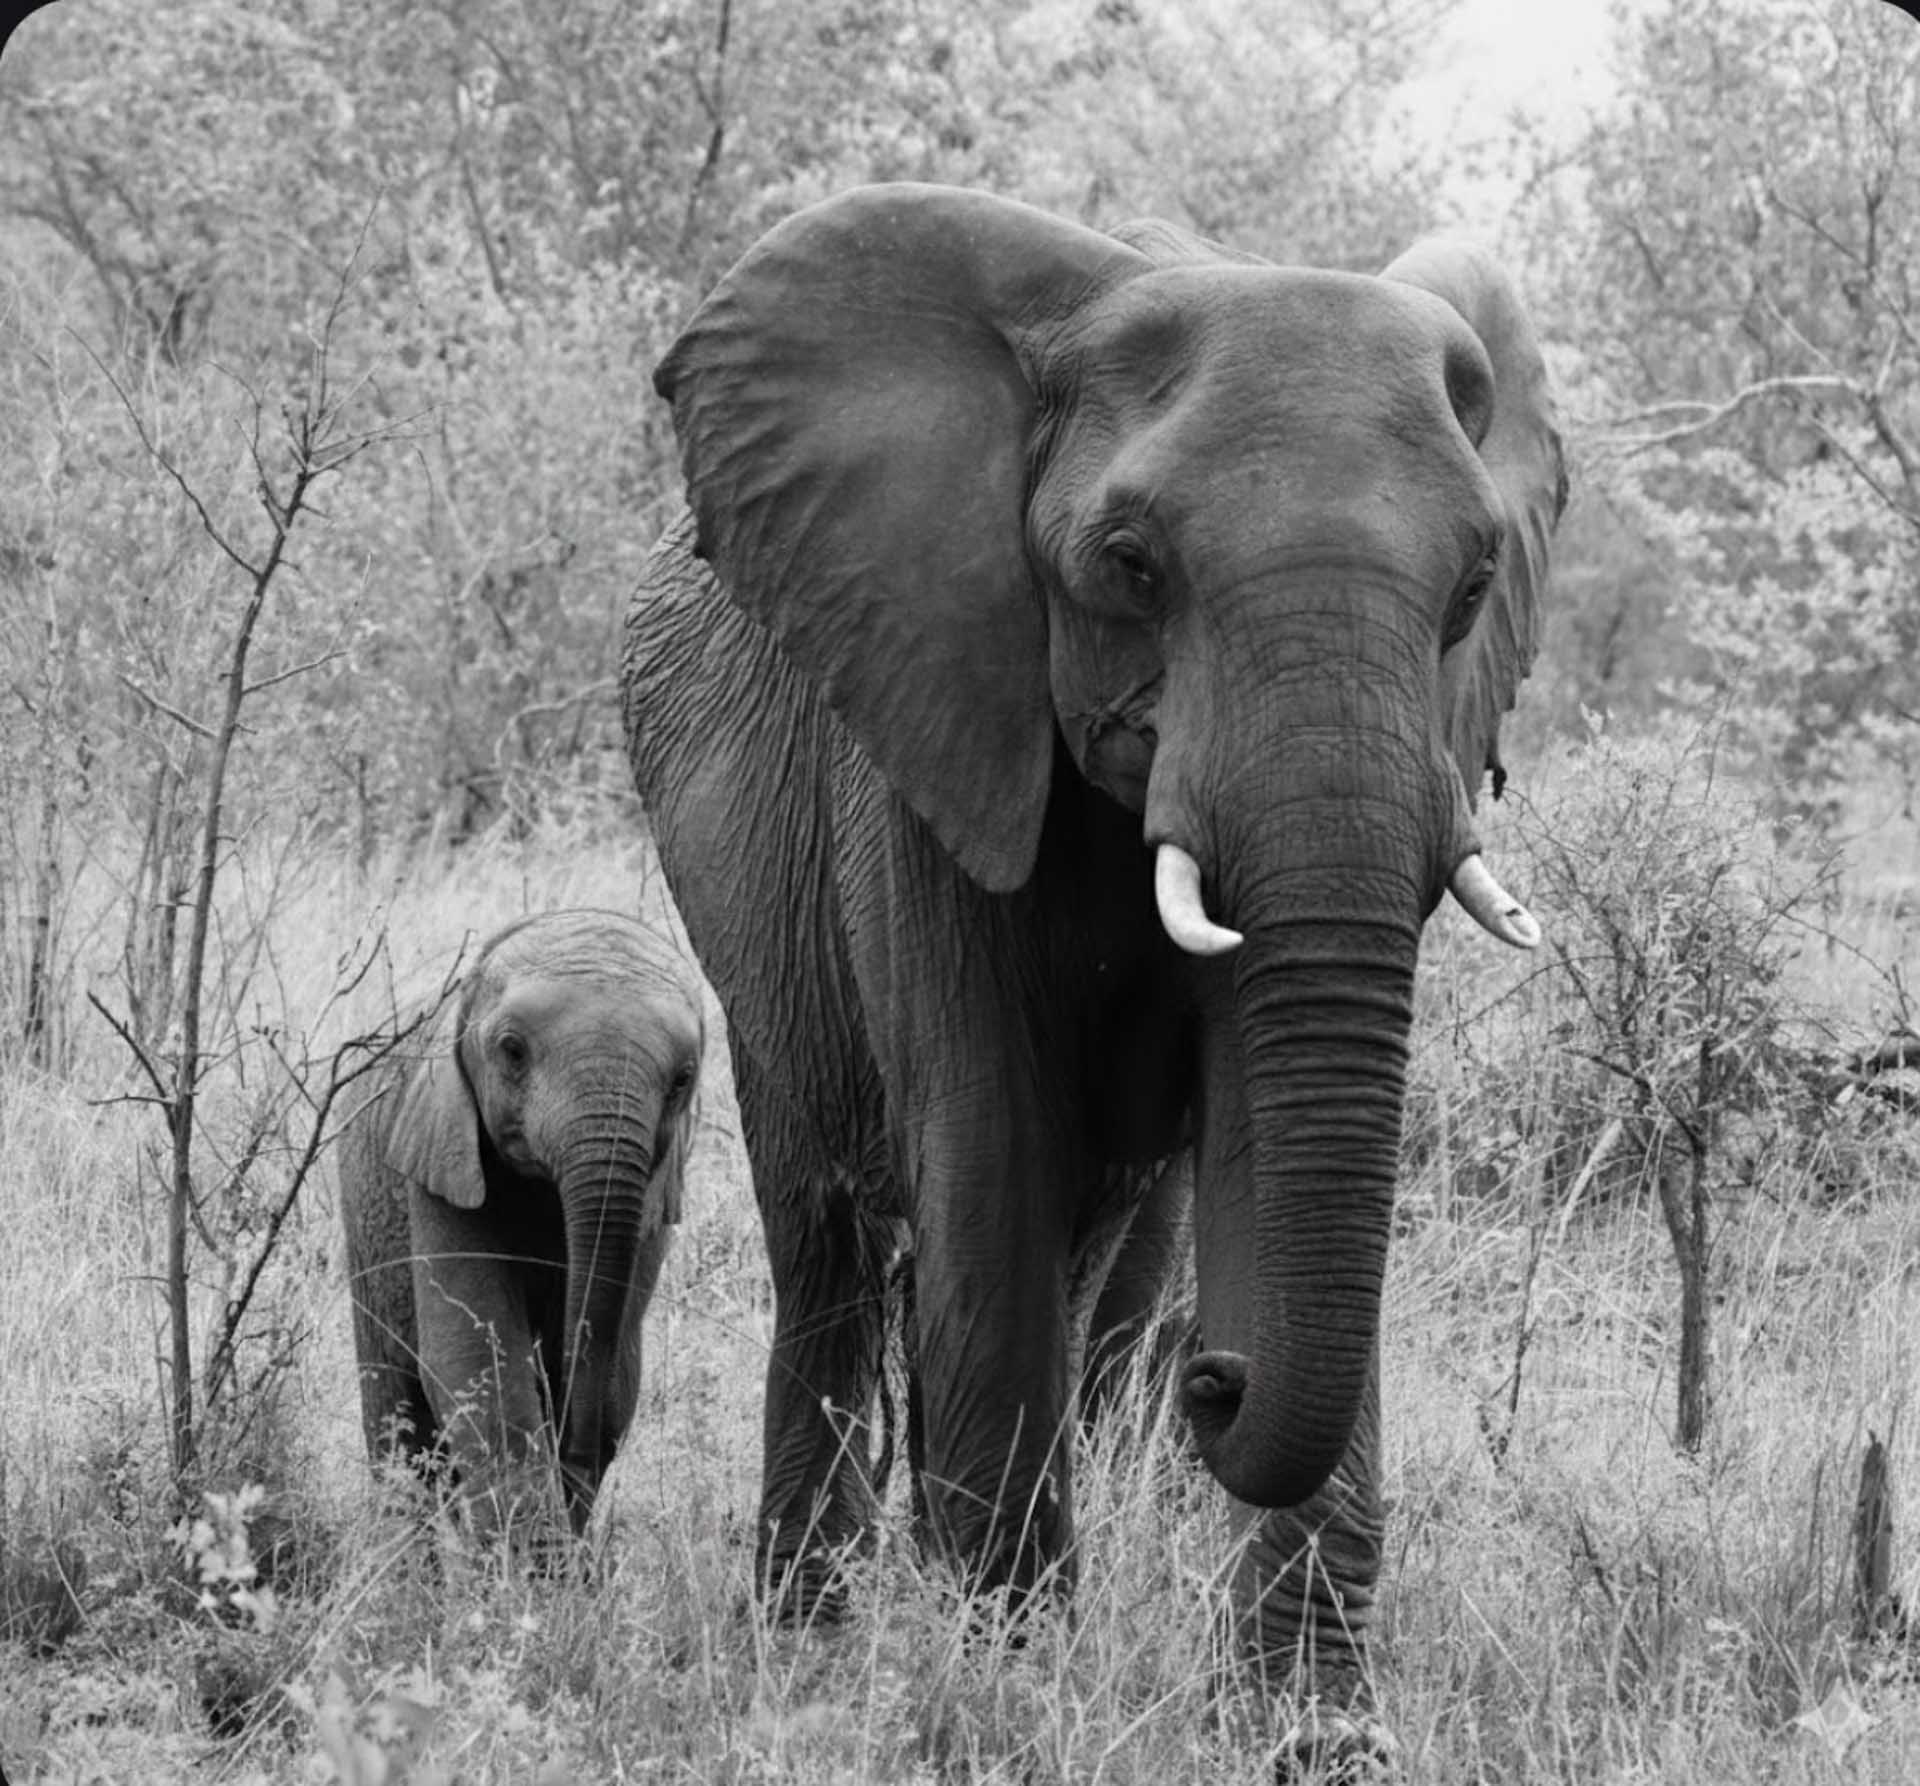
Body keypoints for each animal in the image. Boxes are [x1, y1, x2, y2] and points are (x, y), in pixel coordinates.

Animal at [339, 909, 704, 1544]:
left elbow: (616, 1373)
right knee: (395, 1409)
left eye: (683, 1079)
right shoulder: (439, 1153)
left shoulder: (655, 1193)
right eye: (511, 1051)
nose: (573, 1460)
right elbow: (476, 1357)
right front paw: (535, 1560)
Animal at [621, 182, 1563, 1728]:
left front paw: (1308, 1726)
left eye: (1477, 583)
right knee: (830, 1242)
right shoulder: (932, 722)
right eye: (1131, 566)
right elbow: (989, 1147)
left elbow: (1258, 1149)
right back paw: (809, 1635)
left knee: (1106, 1252)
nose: (1220, 1377)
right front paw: (1007, 1692)